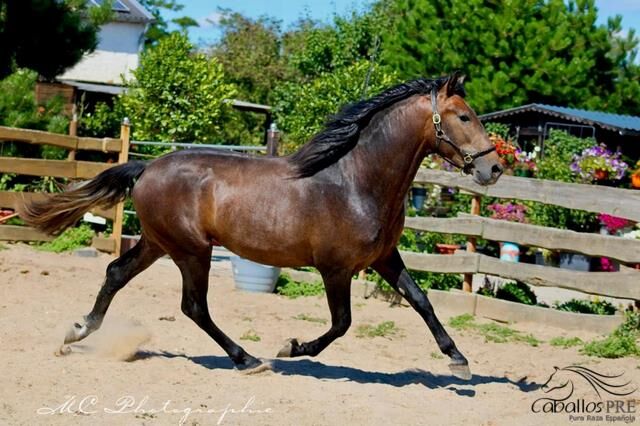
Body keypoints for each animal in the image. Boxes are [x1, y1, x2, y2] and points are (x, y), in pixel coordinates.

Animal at [20, 72, 502, 380]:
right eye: (463, 117)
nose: (494, 168)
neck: (355, 180)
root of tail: (147, 167)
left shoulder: (383, 257)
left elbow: (421, 301)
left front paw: (459, 360)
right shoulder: (335, 269)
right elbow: (342, 323)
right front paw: (291, 347)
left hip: (158, 243)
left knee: (117, 273)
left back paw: (77, 332)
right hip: (190, 250)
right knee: (194, 307)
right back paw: (248, 359)